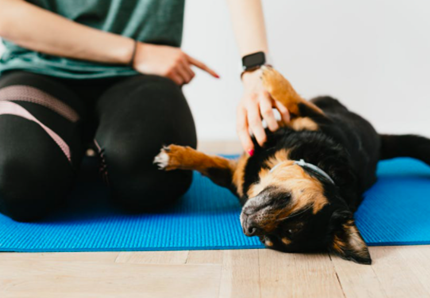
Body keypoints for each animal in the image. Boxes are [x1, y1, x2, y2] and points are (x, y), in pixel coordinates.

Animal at [153, 66, 430, 264]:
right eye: (291, 205)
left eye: (268, 239)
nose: (248, 228)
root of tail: (380, 144)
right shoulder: (320, 121)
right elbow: (208, 163)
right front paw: (175, 157)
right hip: (327, 104)